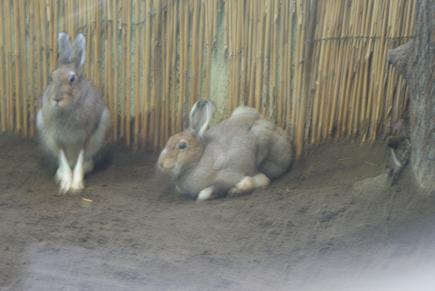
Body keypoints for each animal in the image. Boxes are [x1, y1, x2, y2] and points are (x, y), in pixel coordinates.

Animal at [36, 32, 111, 194]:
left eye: (72, 79)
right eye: (51, 77)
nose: (57, 99)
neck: (67, 109)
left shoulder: (85, 136)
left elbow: (80, 159)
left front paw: (76, 185)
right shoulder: (56, 138)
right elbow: (63, 159)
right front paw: (65, 184)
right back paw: (59, 175)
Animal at [158, 100, 294, 201]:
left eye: (182, 146)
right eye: (169, 140)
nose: (161, 164)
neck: (198, 159)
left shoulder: (230, 175)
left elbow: (203, 194)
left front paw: (233, 191)